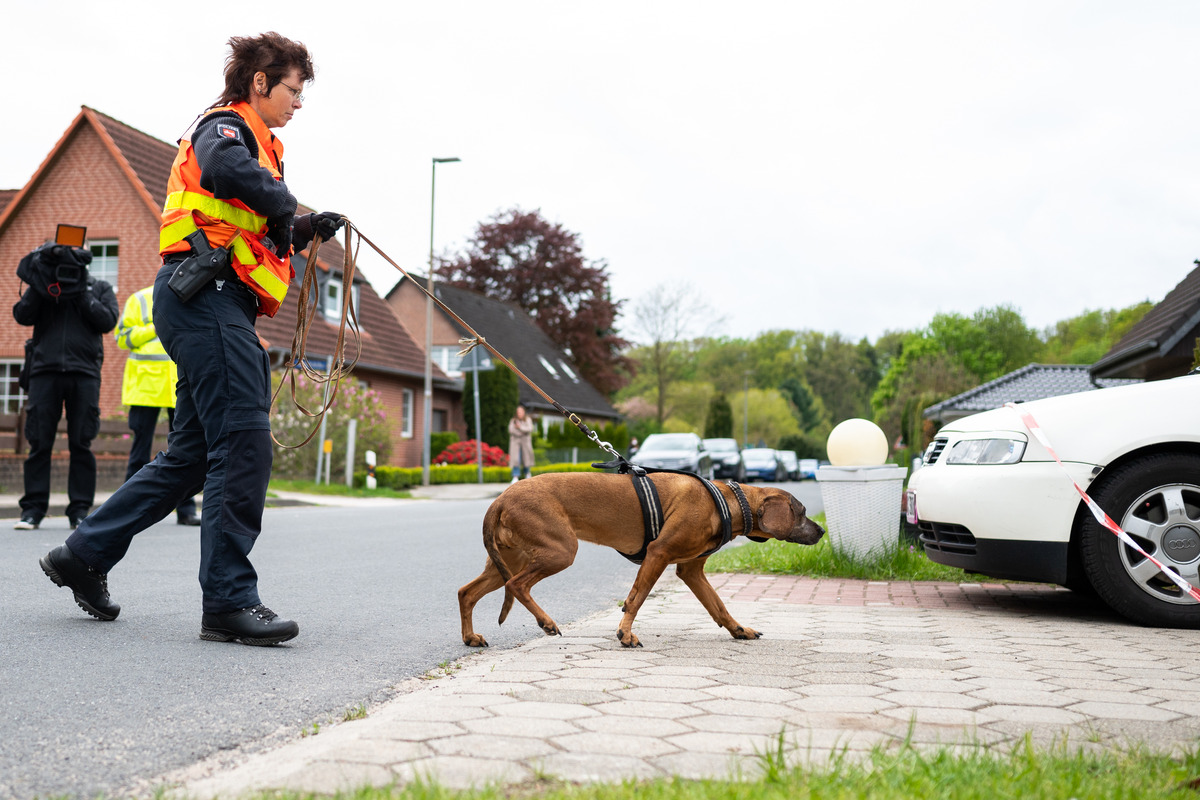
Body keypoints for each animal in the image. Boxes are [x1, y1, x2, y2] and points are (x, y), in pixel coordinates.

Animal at [453, 472, 820, 647]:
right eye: (801, 512)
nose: (821, 531)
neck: (725, 501)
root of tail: (499, 499)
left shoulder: (690, 570)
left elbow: (718, 606)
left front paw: (739, 629)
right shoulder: (658, 554)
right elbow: (637, 598)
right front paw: (625, 634)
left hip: (510, 560)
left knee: (466, 592)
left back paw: (470, 638)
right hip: (559, 552)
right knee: (518, 586)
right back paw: (546, 622)